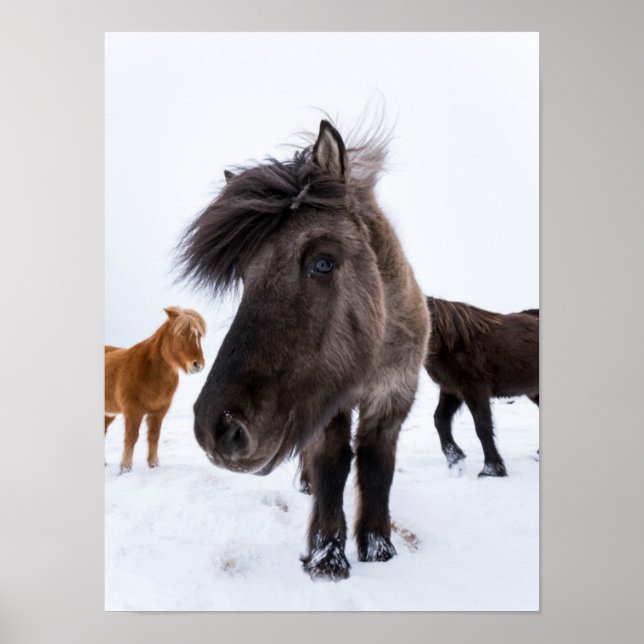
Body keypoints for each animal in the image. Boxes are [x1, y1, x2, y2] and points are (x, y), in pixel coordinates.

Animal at [105, 306, 206, 473]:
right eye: (181, 333)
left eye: (198, 335)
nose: (198, 364)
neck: (150, 372)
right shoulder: (133, 411)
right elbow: (131, 438)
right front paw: (125, 468)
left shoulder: (159, 412)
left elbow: (153, 436)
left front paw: (153, 464)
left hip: (109, 413)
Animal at [178, 120, 430, 581]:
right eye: (245, 276)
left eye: (323, 262)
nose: (217, 429)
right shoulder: (329, 404)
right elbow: (332, 465)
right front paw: (327, 557)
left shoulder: (391, 400)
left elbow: (376, 467)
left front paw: (379, 548)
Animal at [424, 297, 539, 477]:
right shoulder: (451, 389)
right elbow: (440, 419)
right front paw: (455, 460)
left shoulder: (474, 389)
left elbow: (482, 426)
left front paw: (492, 469)